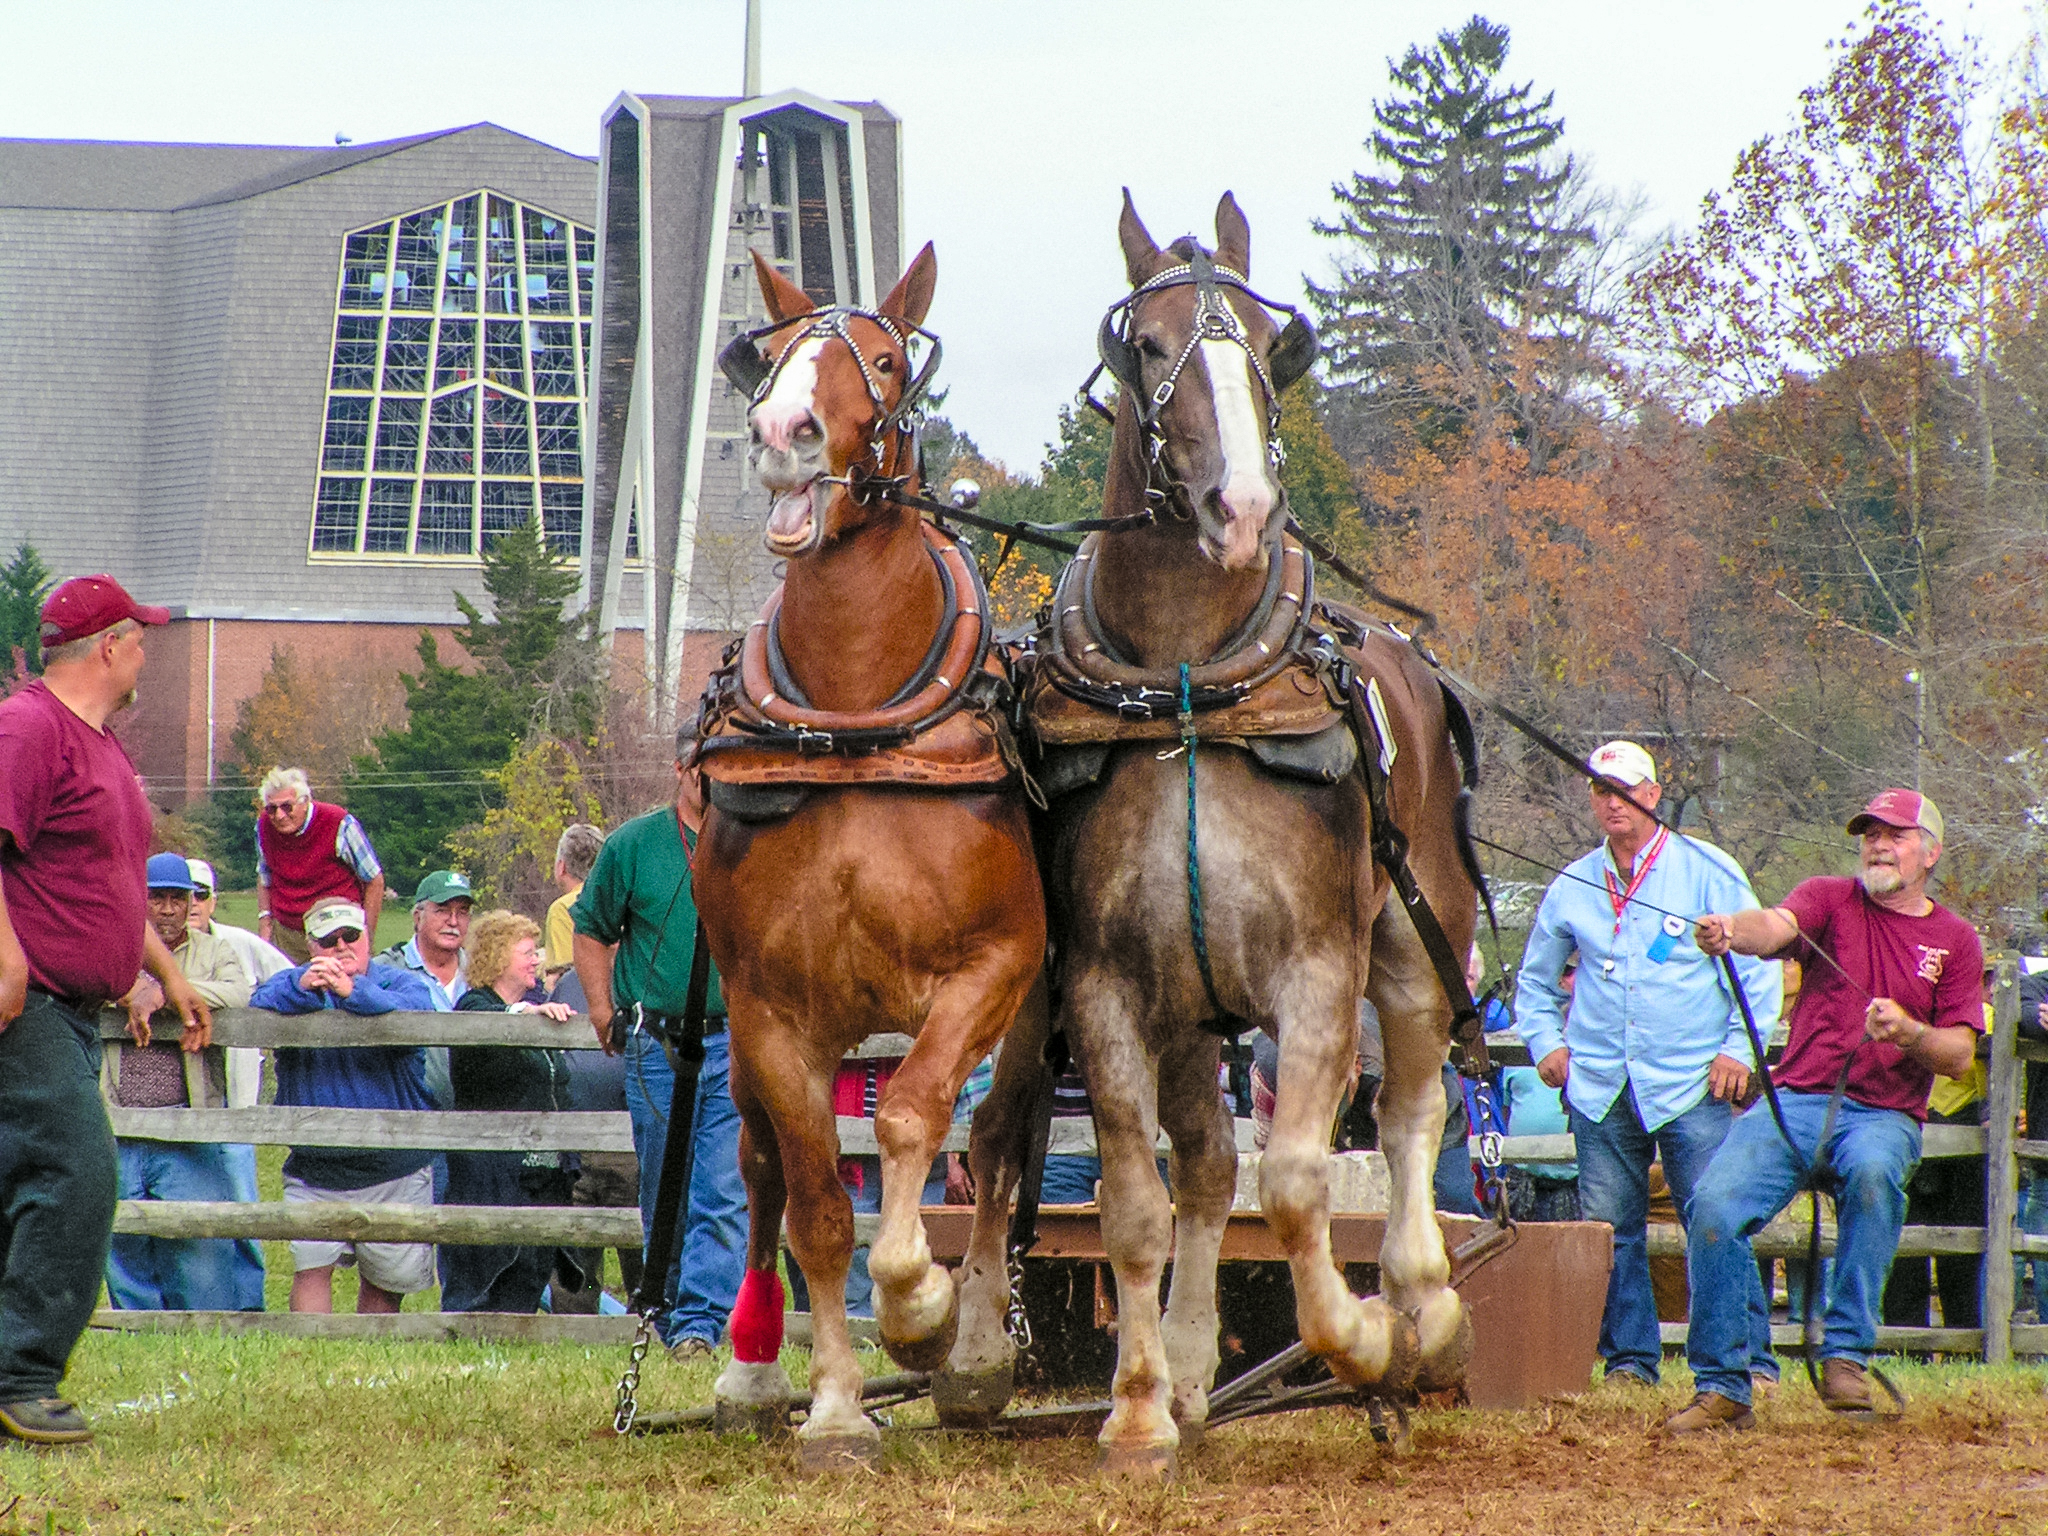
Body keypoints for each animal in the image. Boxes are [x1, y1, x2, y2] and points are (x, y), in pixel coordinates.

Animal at [696, 246, 1048, 1474]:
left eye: (887, 360)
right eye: (772, 351)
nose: (783, 429)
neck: (857, 725)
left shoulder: (994, 967)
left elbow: (910, 1119)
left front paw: (922, 1309)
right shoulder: (767, 1011)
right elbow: (814, 1206)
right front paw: (839, 1410)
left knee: (996, 1142)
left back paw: (978, 1352)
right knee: (759, 1169)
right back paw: (752, 1371)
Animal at [1024, 195, 1490, 1482]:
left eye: (1273, 348)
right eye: (1144, 346)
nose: (1239, 511)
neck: (1189, 690)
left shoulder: (1316, 973)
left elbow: (1293, 1181)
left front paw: (1363, 1337)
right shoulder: (1108, 984)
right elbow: (1140, 1201)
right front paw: (1139, 1410)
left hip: (1413, 938)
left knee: (1411, 1108)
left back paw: (1422, 1303)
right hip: (1192, 1007)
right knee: (1202, 1166)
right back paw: (1188, 1371)